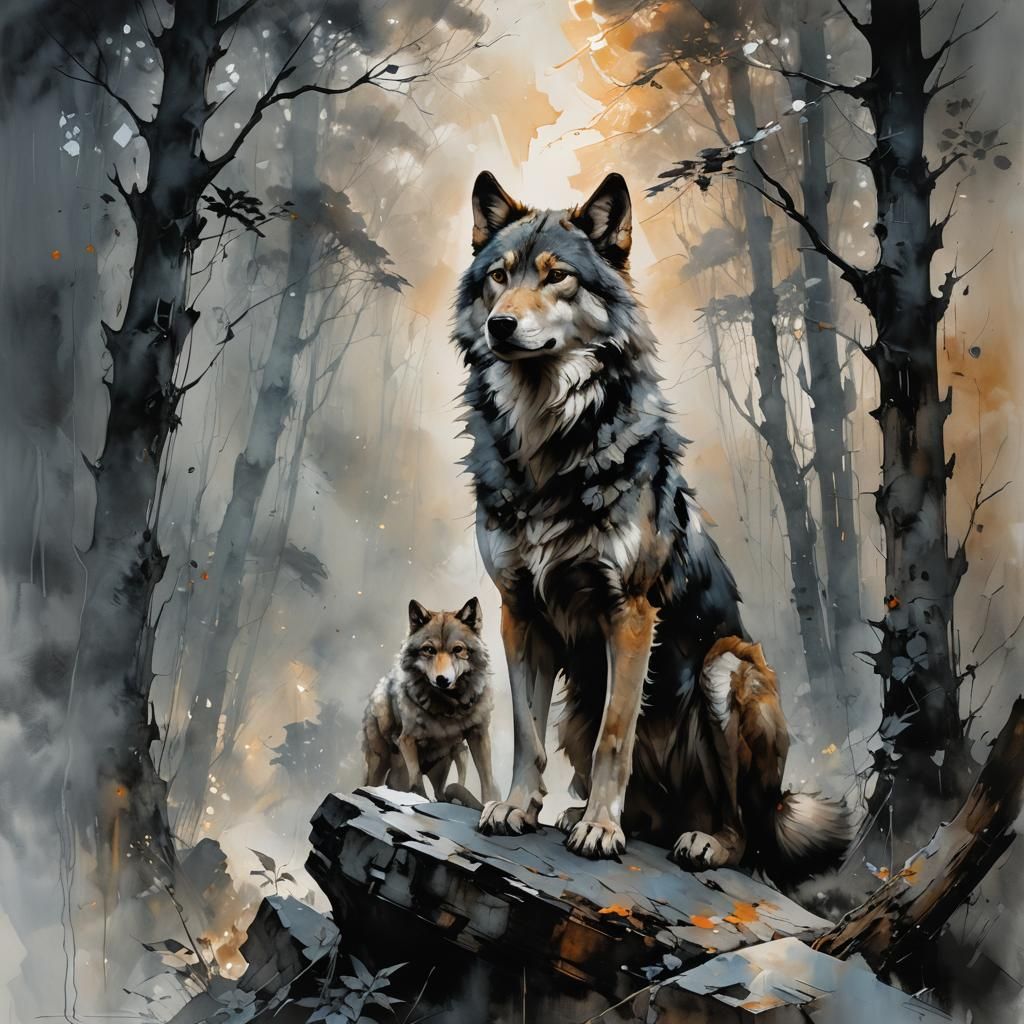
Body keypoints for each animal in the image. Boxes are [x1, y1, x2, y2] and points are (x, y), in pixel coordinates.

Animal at [362, 597, 499, 809]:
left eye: (458, 650)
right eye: (429, 650)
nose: (442, 679)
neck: (450, 708)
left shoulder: (478, 735)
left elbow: (487, 778)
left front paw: (489, 805)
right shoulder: (407, 740)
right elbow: (417, 777)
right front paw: (417, 797)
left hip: (449, 761)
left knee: (442, 792)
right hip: (380, 760)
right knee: (373, 783)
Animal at [452, 170, 852, 886]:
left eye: (557, 277)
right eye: (499, 276)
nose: (501, 324)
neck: (546, 447)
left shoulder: (630, 612)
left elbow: (617, 736)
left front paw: (600, 832)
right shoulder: (518, 612)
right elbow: (526, 731)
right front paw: (517, 807)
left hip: (726, 670)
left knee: (742, 832)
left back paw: (696, 841)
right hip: (579, 713)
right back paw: (600, 819)